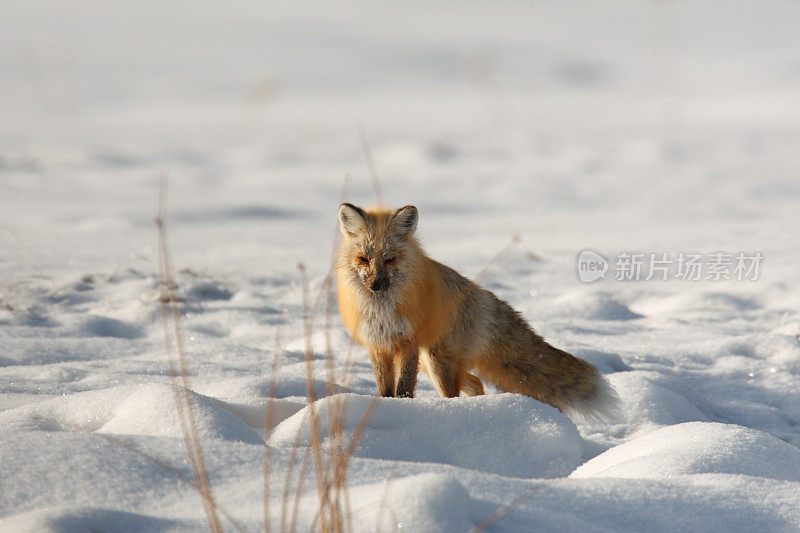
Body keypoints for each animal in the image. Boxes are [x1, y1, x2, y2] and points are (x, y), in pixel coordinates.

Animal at [334, 202, 620, 422]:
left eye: (390, 259)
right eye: (363, 259)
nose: (376, 285)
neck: (382, 311)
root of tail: (482, 297)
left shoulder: (408, 343)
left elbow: (403, 387)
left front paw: (403, 408)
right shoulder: (377, 344)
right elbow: (384, 387)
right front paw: (387, 407)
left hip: (437, 362)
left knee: (459, 389)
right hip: (431, 364)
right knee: (475, 383)